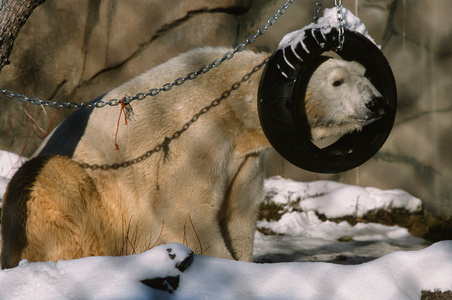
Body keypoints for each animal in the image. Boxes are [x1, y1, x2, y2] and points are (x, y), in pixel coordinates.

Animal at [0, 47, 384, 270]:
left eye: (365, 74)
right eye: (337, 81)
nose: (376, 102)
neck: (234, 104)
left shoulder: (246, 157)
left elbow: (239, 213)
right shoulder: (197, 138)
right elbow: (188, 211)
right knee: (51, 181)